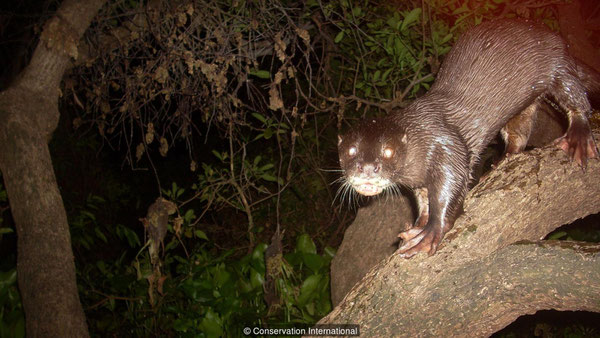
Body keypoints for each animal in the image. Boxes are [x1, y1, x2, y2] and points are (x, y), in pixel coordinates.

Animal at [340, 19, 596, 258]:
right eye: (351, 151)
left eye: (388, 151)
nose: (367, 168)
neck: (419, 138)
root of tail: (557, 39)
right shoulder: (420, 180)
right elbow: (424, 199)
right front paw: (418, 226)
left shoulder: (445, 144)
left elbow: (451, 185)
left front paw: (430, 232)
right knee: (519, 129)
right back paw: (504, 159)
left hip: (557, 66)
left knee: (575, 96)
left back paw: (578, 137)